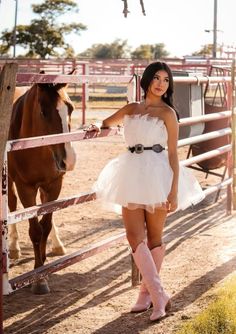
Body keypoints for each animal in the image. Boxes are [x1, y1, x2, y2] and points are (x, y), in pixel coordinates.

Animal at [7, 77, 76, 294]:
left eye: (70, 108)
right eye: (44, 112)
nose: (69, 160)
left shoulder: (54, 185)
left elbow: (45, 225)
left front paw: (44, 267)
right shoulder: (25, 188)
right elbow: (35, 231)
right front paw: (38, 279)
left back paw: (57, 244)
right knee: (11, 205)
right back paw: (13, 247)